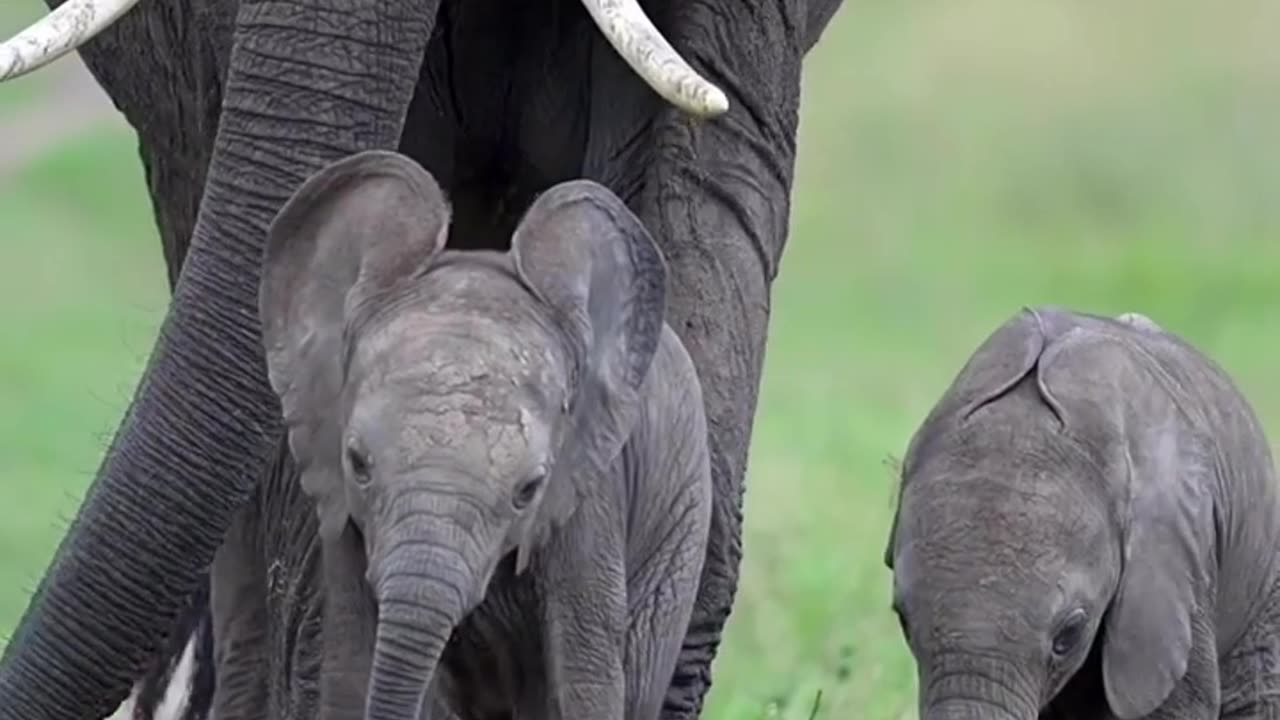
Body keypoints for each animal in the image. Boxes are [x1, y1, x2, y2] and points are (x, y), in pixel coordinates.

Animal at [258, 149, 716, 717]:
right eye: (357, 464)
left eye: (529, 490)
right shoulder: (343, 517)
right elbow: (349, 668)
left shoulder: (588, 500)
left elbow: (584, 680)